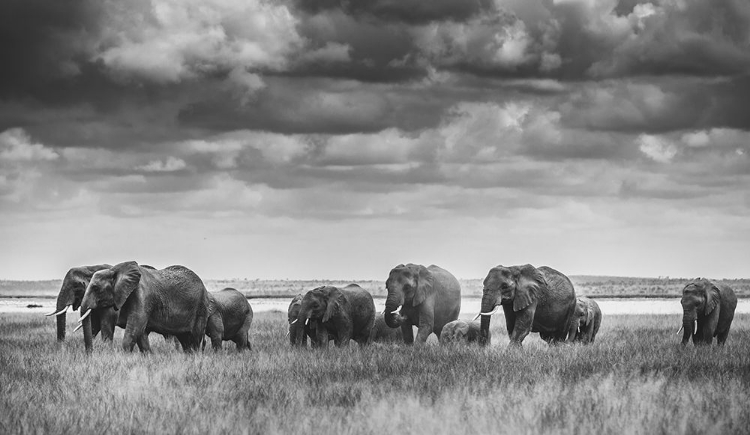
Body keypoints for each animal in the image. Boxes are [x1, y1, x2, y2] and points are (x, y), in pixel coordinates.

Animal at [79, 262, 210, 354]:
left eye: (95, 288)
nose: (90, 354)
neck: (116, 269)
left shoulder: (143, 296)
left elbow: (135, 328)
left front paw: (124, 357)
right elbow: (141, 333)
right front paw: (148, 357)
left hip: (200, 309)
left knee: (194, 339)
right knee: (185, 339)